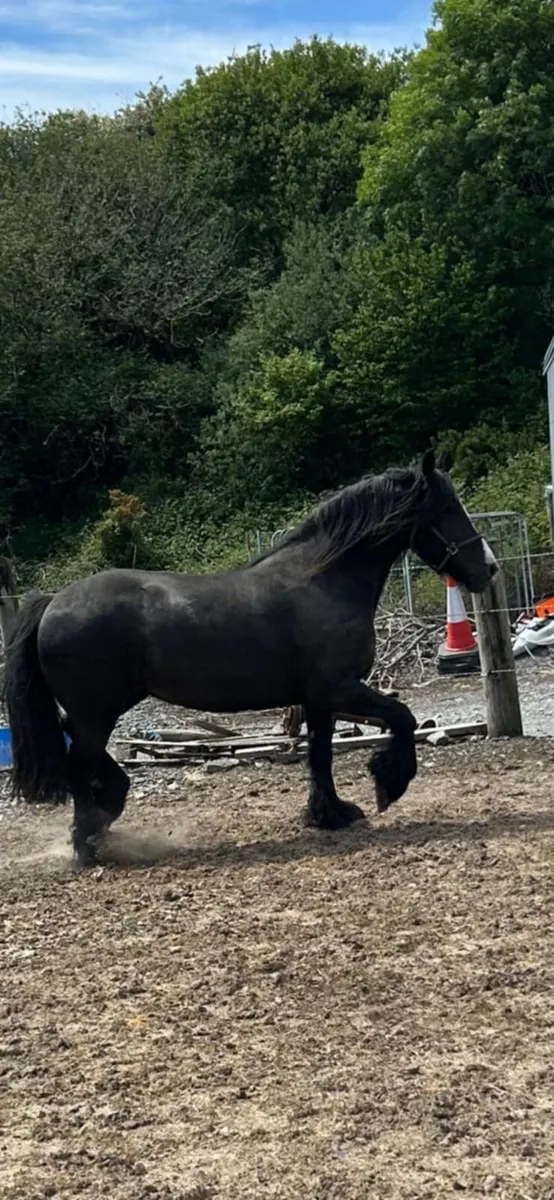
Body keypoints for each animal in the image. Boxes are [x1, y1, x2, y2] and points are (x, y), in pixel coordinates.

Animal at [4, 450, 497, 867]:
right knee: (78, 762)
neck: (324, 582)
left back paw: (107, 810)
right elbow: (403, 717)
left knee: (76, 745)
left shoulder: (318, 699)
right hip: (98, 711)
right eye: (446, 511)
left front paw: (330, 814)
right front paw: (387, 785)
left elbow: (320, 755)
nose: (487, 569)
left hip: (99, 709)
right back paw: (88, 846)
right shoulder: (340, 688)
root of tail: (53, 601)